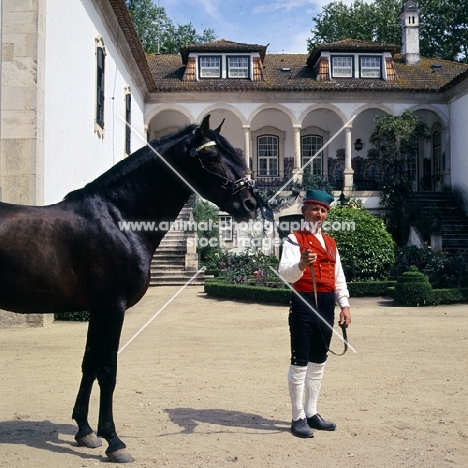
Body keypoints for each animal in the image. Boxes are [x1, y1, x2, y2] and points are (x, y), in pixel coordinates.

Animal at [0, 115, 274, 462]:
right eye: (212, 157)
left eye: (237, 154)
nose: (251, 204)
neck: (119, 218)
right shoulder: (112, 307)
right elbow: (107, 369)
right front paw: (113, 441)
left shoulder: (97, 310)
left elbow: (89, 364)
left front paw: (84, 431)